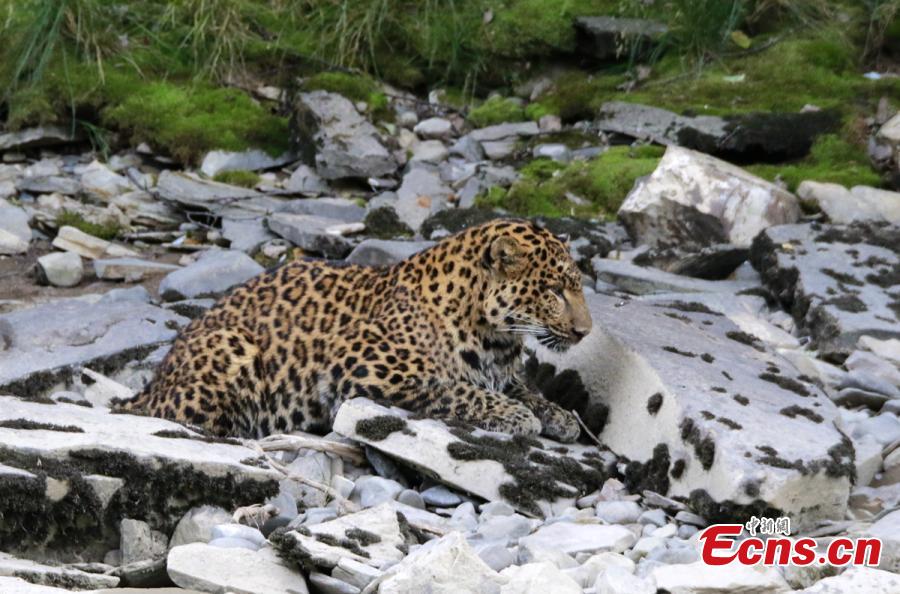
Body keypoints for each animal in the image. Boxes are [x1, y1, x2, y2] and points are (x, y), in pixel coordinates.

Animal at [116, 219, 592, 442]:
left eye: (577, 286)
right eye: (553, 290)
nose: (586, 332)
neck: (496, 337)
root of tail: (147, 389)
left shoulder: (501, 372)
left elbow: (528, 390)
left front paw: (560, 417)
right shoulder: (365, 365)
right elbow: (456, 388)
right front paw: (518, 416)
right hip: (233, 346)